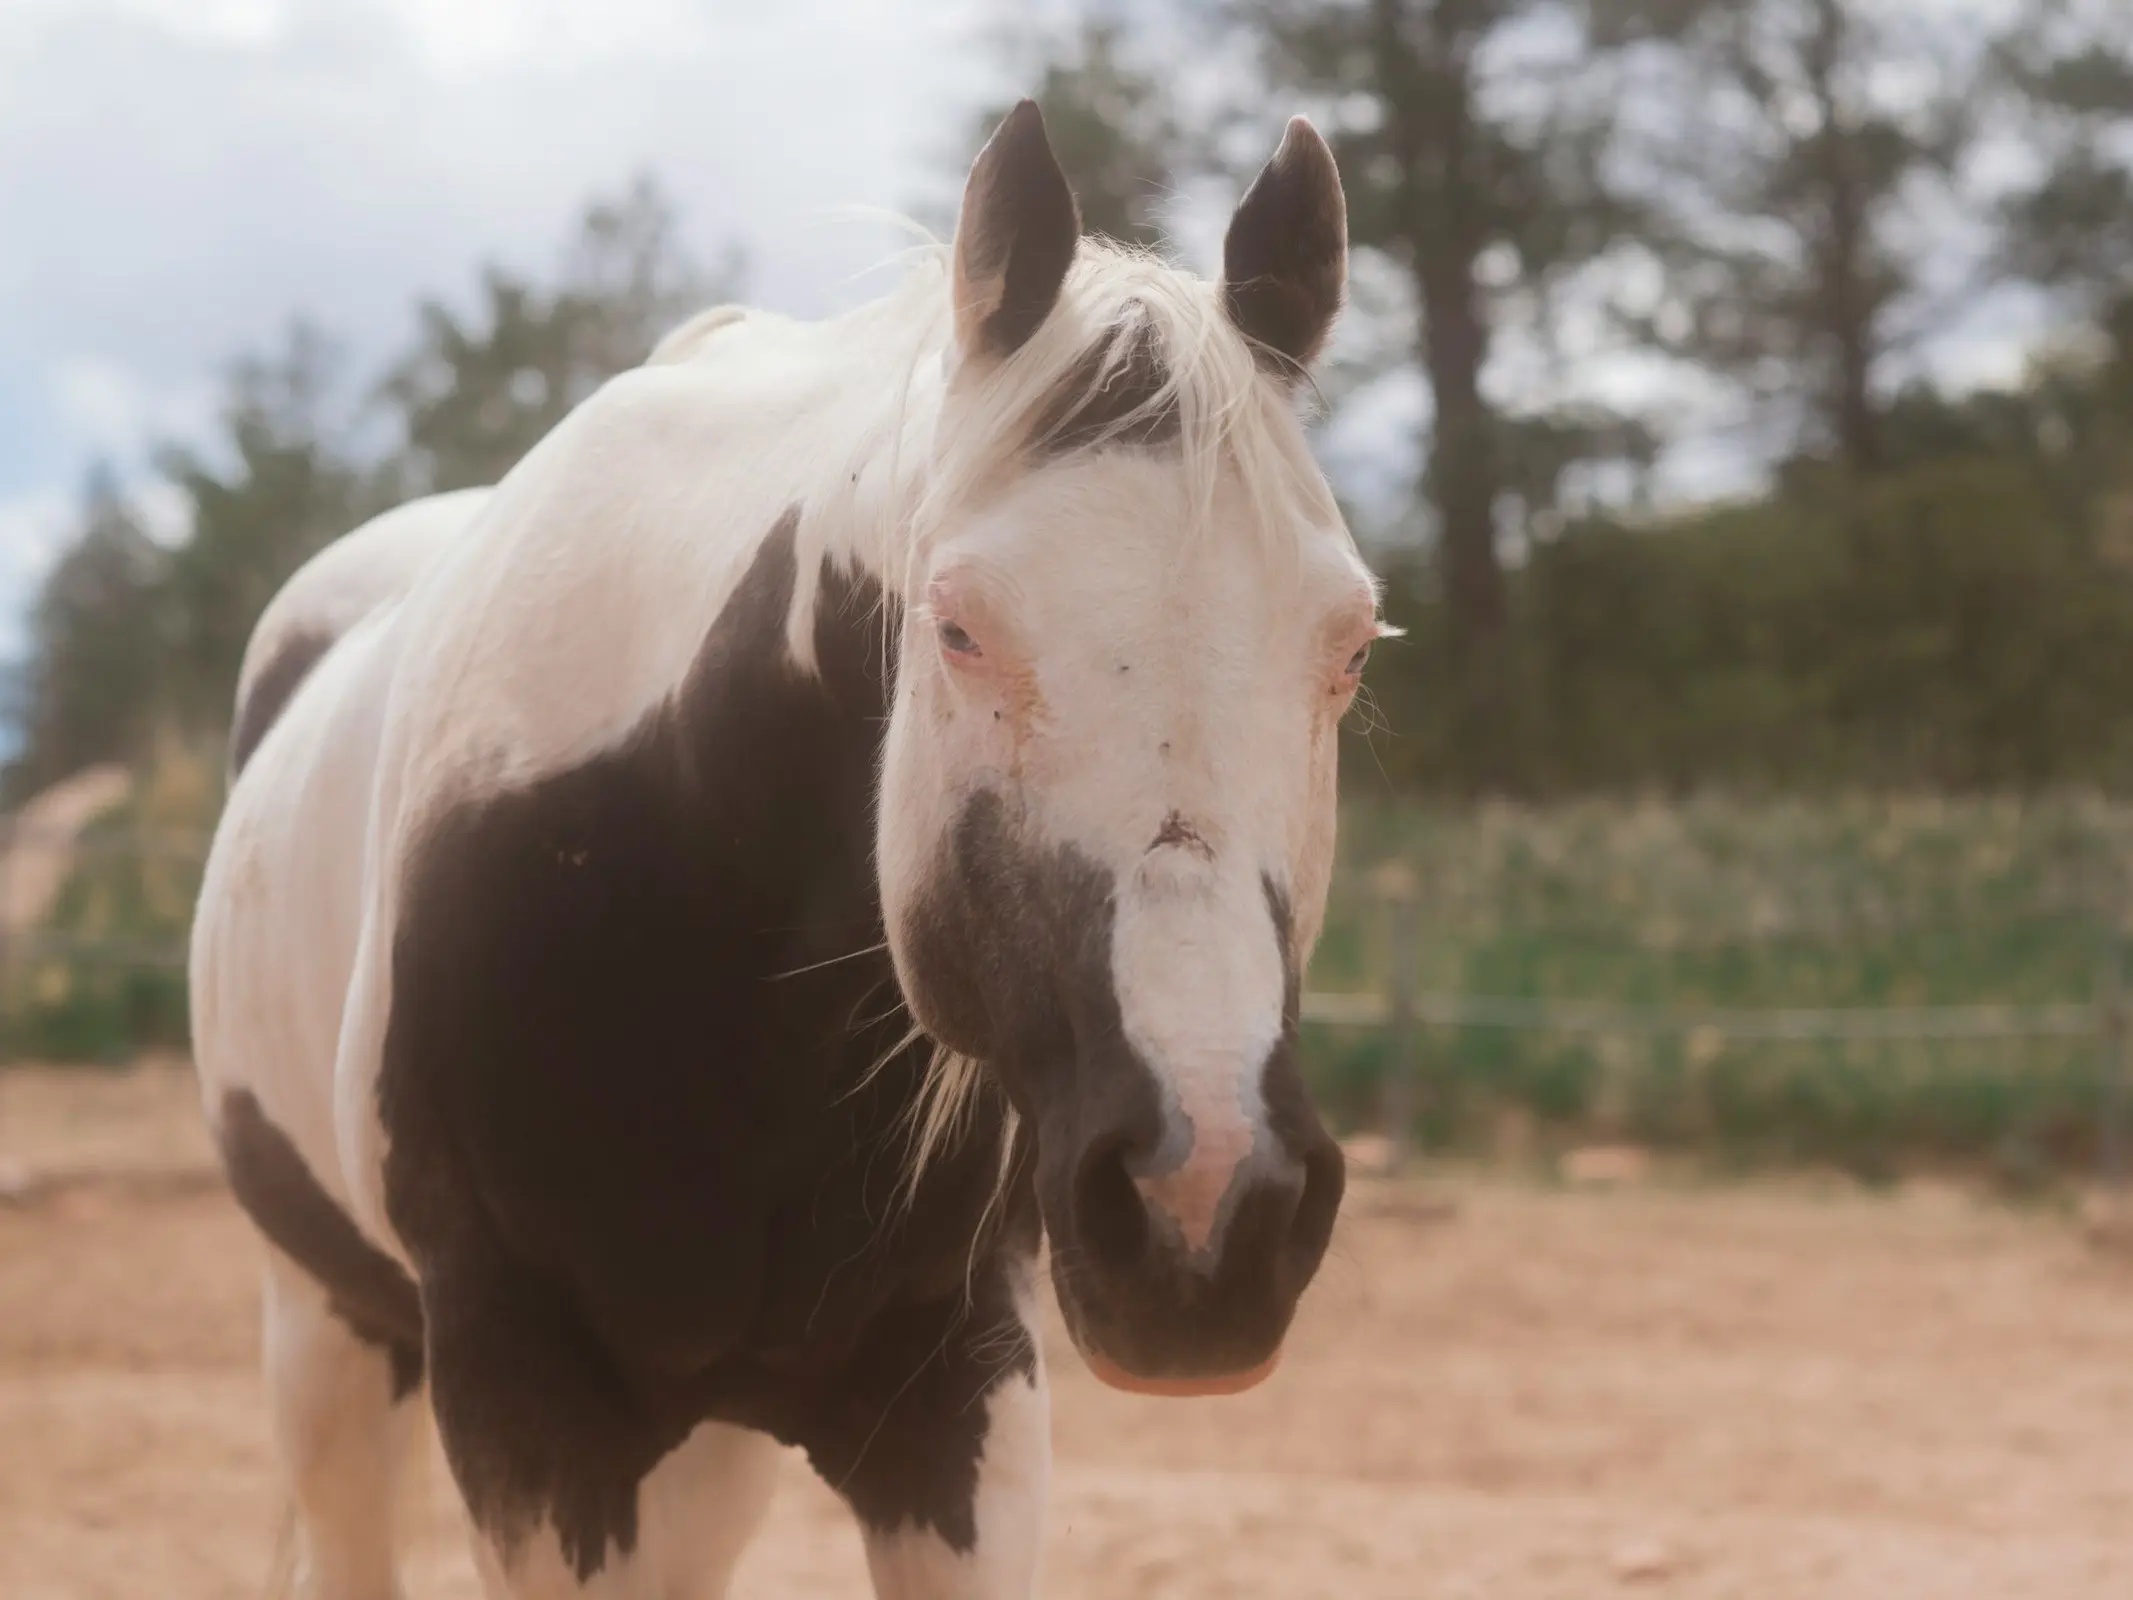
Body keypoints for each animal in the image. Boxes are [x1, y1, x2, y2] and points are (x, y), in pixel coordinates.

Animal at [187, 103, 1382, 1600]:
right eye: (959, 628)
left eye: (1349, 647)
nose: (1207, 1202)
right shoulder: (527, 1408)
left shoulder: (960, 1396)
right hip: (328, 1336)